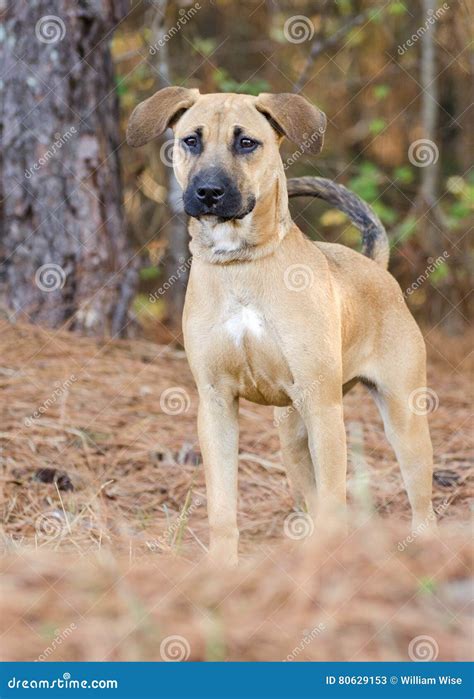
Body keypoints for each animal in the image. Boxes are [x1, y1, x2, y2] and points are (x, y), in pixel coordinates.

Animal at [127, 89, 436, 568]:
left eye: (247, 143)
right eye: (191, 140)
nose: (208, 192)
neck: (240, 264)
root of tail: (376, 267)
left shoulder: (323, 407)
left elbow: (334, 497)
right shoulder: (215, 405)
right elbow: (222, 505)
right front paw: (222, 567)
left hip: (403, 420)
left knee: (420, 503)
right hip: (291, 433)